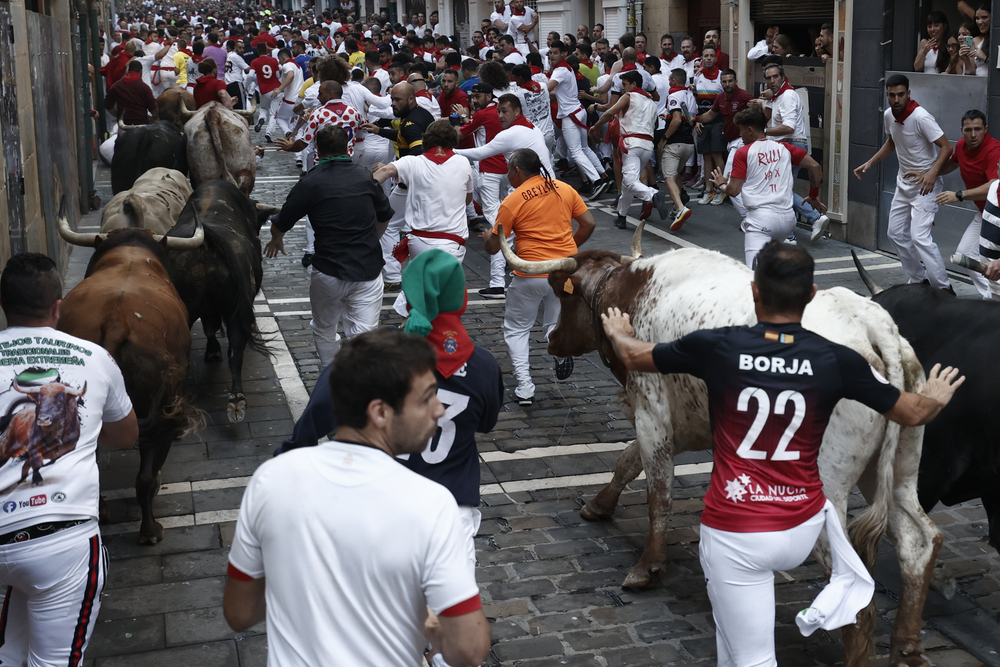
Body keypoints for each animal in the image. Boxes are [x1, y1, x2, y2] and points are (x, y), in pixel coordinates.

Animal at [500, 226, 944, 667]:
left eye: (560, 293)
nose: (551, 341)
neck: (636, 292)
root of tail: (871, 324)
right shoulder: (684, 422)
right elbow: (627, 461)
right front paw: (599, 504)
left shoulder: (652, 413)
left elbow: (658, 493)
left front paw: (648, 566)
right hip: (894, 470)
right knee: (919, 541)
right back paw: (907, 647)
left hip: (821, 493)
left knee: (855, 591)